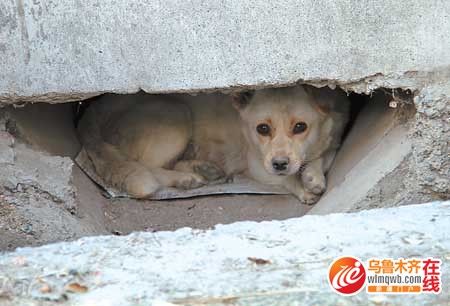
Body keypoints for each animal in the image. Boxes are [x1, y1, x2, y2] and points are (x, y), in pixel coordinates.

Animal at [79, 85, 350, 204]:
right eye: (262, 128)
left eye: (300, 127)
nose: (280, 163)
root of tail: (91, 112)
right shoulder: (258, 164)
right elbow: (286, 179)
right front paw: (303, 187)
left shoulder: (332, 142)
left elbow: (323, 158)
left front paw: (313, 176)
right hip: (174, 113)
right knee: (146, 165)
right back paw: (186, 179)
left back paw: (204, 169)